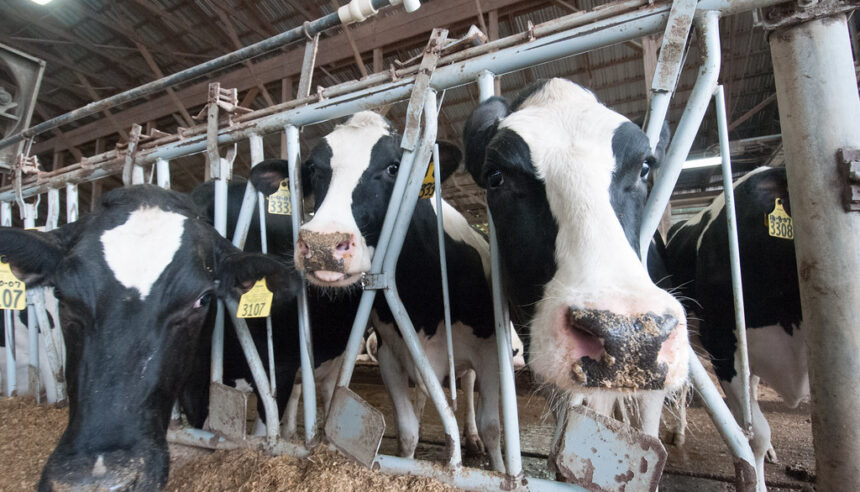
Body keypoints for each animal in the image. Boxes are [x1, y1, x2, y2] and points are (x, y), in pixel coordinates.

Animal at [248, 112, 507, 472]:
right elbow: (408, 431)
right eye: (312, 168)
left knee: (467, 388)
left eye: (394, 167)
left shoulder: (489, 351)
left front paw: (501, 469)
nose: (323, 245)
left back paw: (470, 437)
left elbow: (492, 427)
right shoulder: (390, 356)